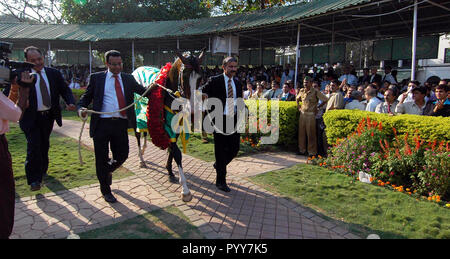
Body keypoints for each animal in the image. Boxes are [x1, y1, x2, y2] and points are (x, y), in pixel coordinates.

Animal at [132, 48, 206, 203]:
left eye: (200, 77)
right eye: (184, 76)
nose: (193, 111)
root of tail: (137, 69)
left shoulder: (176, 128)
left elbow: (172, 149)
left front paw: (170, 171)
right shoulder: (166, 127)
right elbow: (176, 153)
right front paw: (185, 190)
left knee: (144, 132)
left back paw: (143, 149)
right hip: (134, 115)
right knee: (137, 135)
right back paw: (141, 159)